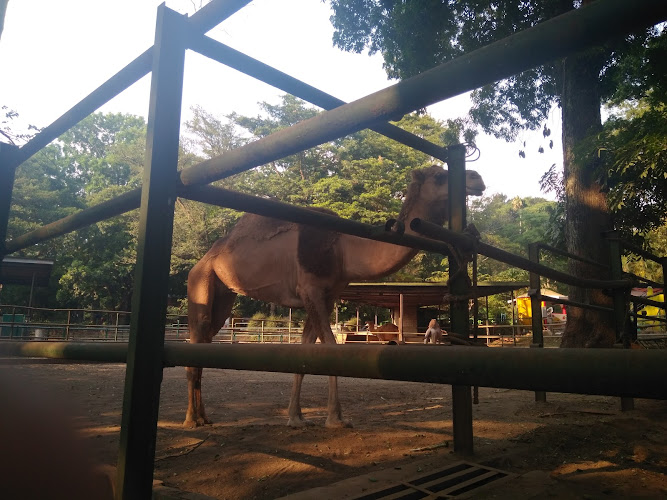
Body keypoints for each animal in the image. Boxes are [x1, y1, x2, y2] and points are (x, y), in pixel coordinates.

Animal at [183, 165, 486, 430]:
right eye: (439, 176)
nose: (477, 178)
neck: (343, 247)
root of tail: (206, 258)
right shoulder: (311, 289)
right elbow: (331, 347)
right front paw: (336, 419)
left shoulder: (326, 295)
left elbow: (307, 351)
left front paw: (296, 418)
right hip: (200, 281)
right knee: (197, 338)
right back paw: (191, 421)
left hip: (224, 294)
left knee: (206, 341)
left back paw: (204, 417)